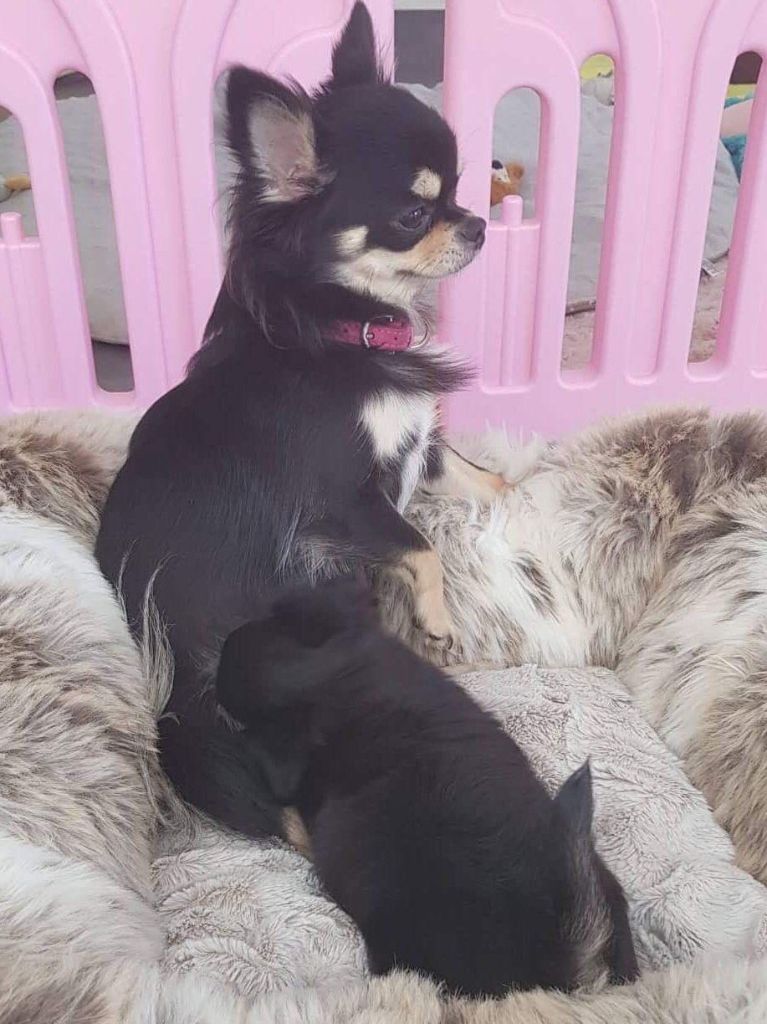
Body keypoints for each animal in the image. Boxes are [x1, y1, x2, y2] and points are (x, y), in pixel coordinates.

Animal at [95, 1, 505, 838]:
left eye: (455, 190)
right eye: (414, 212)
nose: (477, 223)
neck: (350, 329)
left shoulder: (420, 445)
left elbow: (483, 479)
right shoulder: (344, 502)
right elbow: (420, 548)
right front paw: (438, 617)